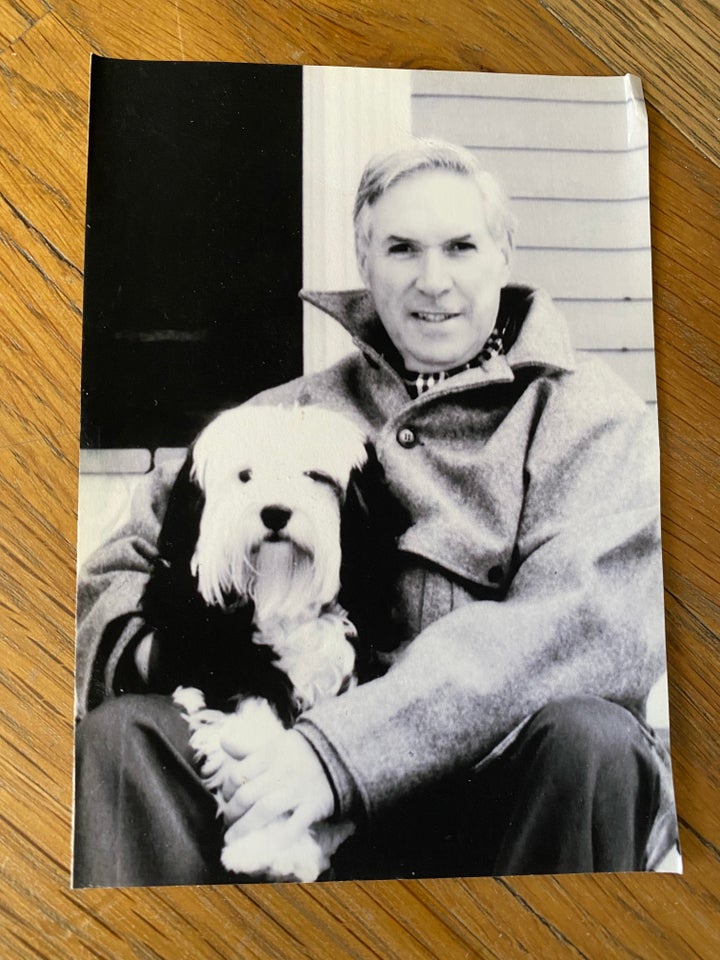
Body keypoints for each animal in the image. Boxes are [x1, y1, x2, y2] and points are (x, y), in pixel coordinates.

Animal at [165, 402, 368, 880]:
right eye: (245, 476)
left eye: (314, 475)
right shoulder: (222, 660)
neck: (280, 590)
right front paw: (267, 843)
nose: (275, 513)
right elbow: (256, 731)